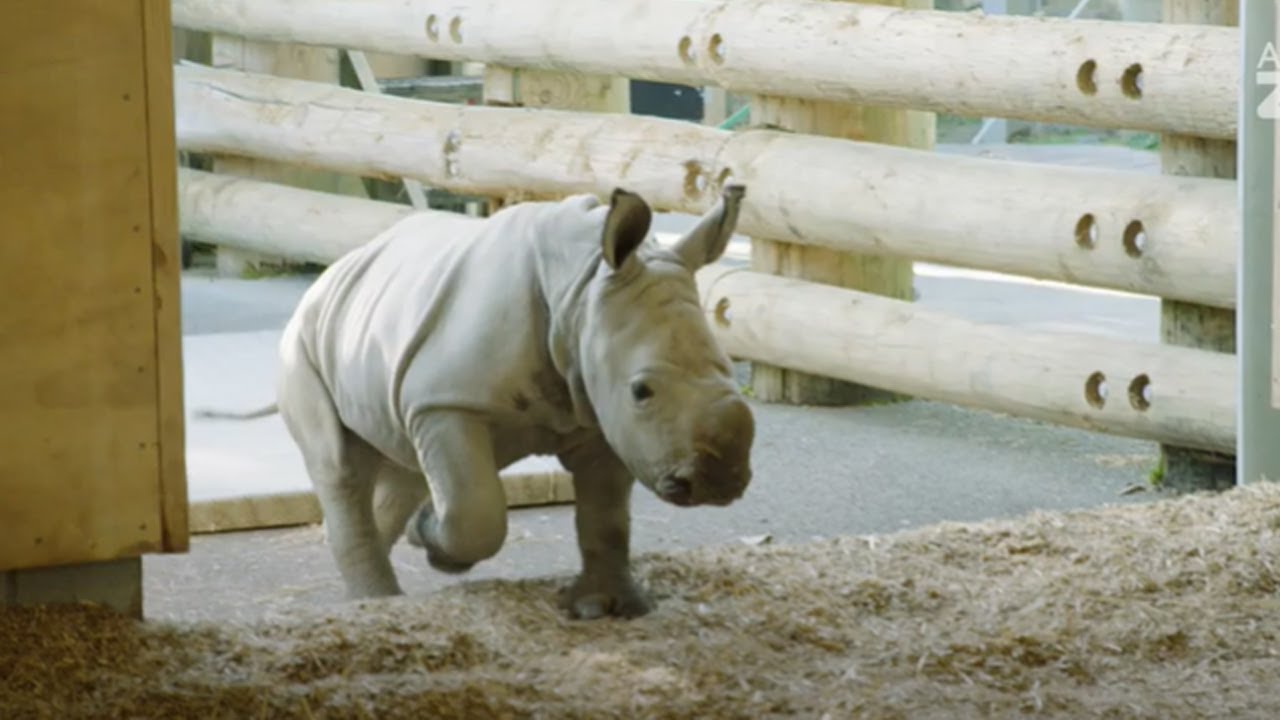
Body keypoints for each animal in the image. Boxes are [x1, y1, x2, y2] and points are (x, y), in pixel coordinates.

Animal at [199, 184, 755, 619]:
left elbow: (607, 516)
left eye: (731, 372)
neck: (580, 288)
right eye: (642, 390)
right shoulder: (447, 404)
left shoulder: (600, 411)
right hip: (301, 345)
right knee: (338, 465)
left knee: (400, 462)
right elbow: (476, 512)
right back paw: (378, 604)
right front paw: (438, 547)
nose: (720, 480)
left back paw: (380, 591)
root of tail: (327, 277)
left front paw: (608, 607)